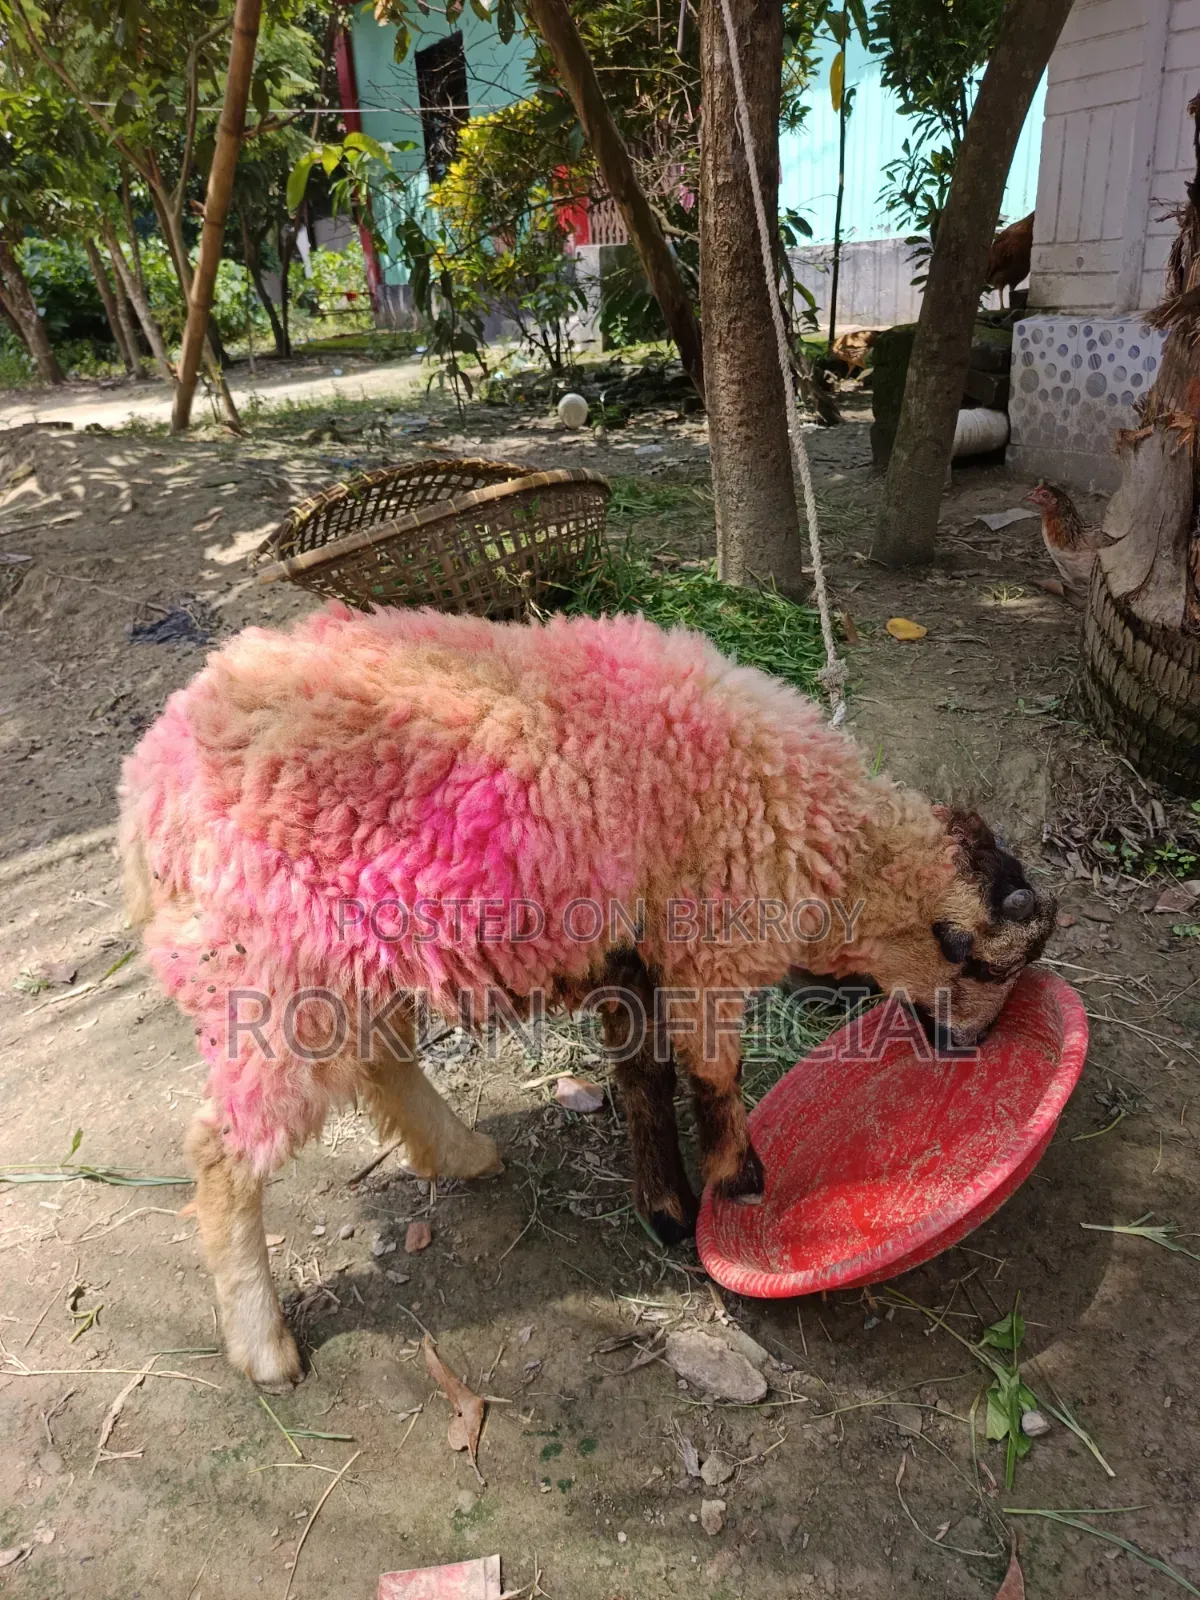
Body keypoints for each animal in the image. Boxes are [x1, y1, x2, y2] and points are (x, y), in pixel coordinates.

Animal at [119, 602, 1055, 1387]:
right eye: (992, 967)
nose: (971, 1049)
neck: (829, 841)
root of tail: (145, 789)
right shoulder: (707, 939)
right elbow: (712, 1071)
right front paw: (737, 1179)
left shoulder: (630, 951)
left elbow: (643, 1075)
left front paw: (668, 1208)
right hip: (272, 968)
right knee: (223, 1148)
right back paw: (263, 1346)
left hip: (354, 959)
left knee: (381, 1064)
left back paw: (462, 1153)